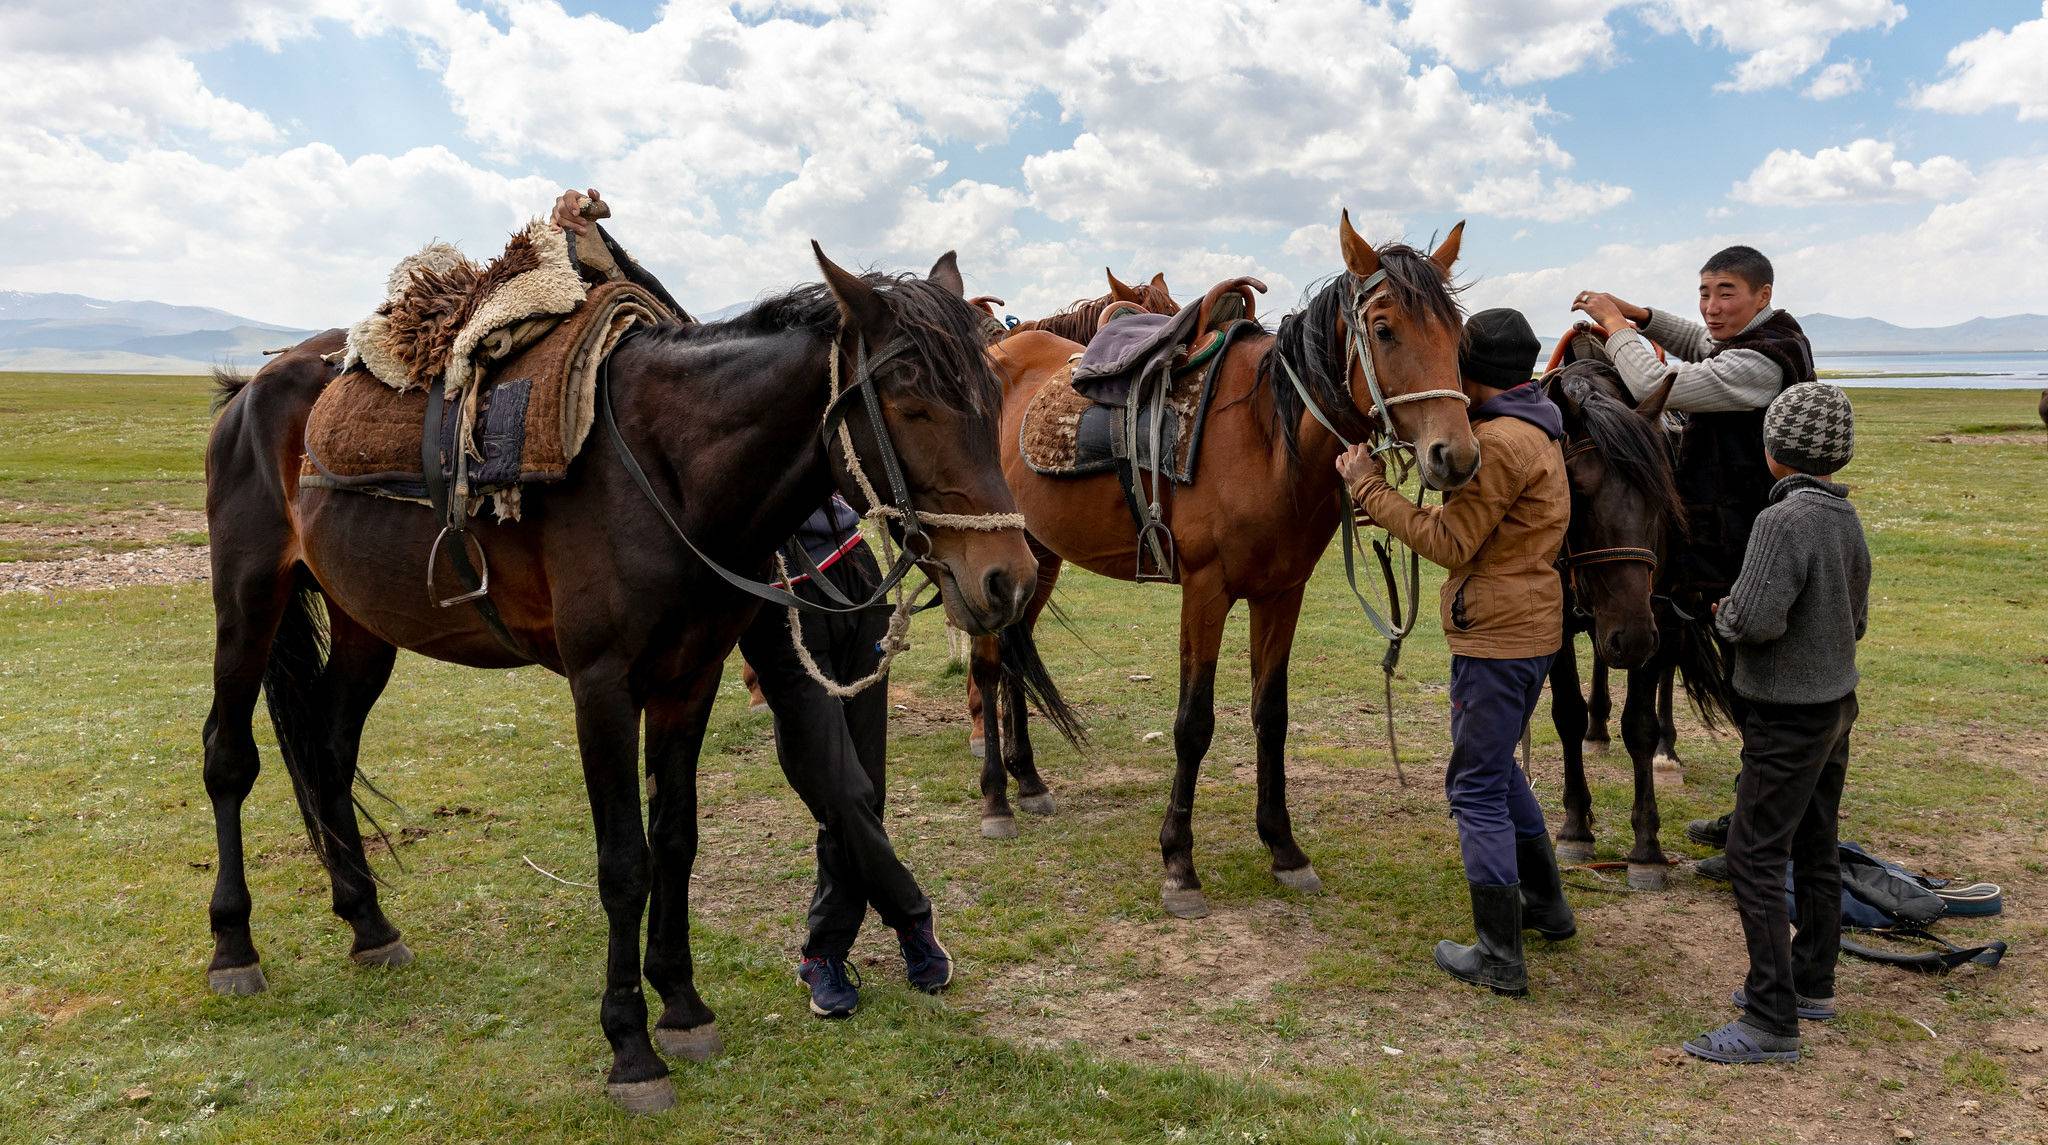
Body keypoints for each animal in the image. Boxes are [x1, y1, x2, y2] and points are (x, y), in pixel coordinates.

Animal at [199, 246, 1040, 1114]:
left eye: (991, 402)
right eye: (910, 405)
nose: (1008, 578)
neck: (665, 472)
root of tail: (249, 391)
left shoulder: (687, 680)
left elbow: (675, 841)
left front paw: (683, 1006)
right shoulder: (600, 686)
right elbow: (623, 863)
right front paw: (631, 1046)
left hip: (366, 624)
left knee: (328, 752)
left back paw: (369, 924)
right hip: (247, 598)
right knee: (229, 757)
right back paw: (234, 947)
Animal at [966, 210, 1482, 917]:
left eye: (1456, 335)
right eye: (1383, 330)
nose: (1454, 456)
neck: (1266, 439)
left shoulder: (1282, 593)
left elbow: (1273, 716)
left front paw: (1284, 848)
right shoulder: (1205, 591)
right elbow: (1194, 723)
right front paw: (1179, 864)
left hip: (1037, 558)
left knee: (1015, 655)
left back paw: (1029, 781)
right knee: (991, 664)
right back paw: (995, 797)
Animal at [1540, 362, 1736, 893]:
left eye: (1664, 494)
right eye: (1576, 493)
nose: (1632, 638)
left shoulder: (1660, 617)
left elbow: (1640, 726)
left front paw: (1646, 849)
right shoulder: (1558, 624)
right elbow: (1567, 713)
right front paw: (1575, 828)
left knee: (1663, 677)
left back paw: (1668, 752)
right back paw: (1597, 730)